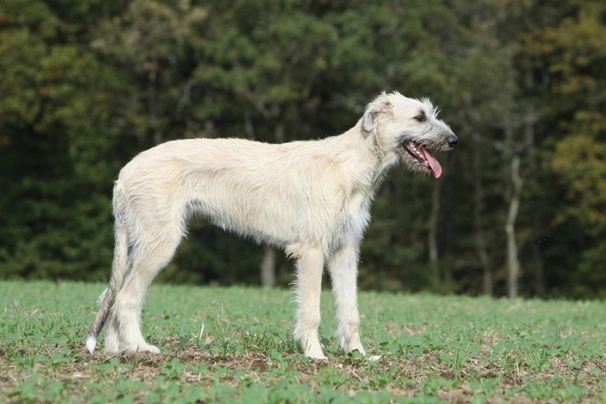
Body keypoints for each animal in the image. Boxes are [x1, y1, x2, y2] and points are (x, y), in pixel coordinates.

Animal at [84, 90, 456, 358]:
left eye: (431, 113)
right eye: (419, 116)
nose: (454, 140)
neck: (352, 164)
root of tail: (124, 173)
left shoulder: (345, 250)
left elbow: (350, 309)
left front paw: (359, 355)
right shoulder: (312, 251)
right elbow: (311, 309)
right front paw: (315, 355)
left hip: (141, 241)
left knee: (111, 296)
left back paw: (116, 350)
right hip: (160, 242)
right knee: (126, 298)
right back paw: (139, 347)